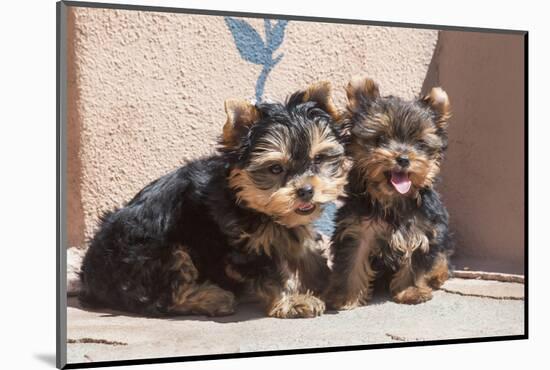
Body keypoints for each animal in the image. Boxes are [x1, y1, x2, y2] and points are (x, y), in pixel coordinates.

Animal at [80, 82, 352, 320]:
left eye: (318, 159)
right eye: (275, 169)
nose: (306, 190)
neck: (243, 197)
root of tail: (90, 278)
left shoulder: (289, 225)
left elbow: (307, 251)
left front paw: (333, 285)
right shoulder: (242, 245)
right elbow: (271, 273)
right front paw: (292, 301)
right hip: (154, 254)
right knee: (164, 295)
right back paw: (214, 298)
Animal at [326, 76, 454, 308]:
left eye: (419, 144)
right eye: (380, 139)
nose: (403, 159)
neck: (393, 198)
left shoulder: (421, 229)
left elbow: (415, 262)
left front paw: (410, 291)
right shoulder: (357, 229)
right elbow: (351, 261)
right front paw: (345, 296)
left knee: (441, 258)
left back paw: (437, 275)